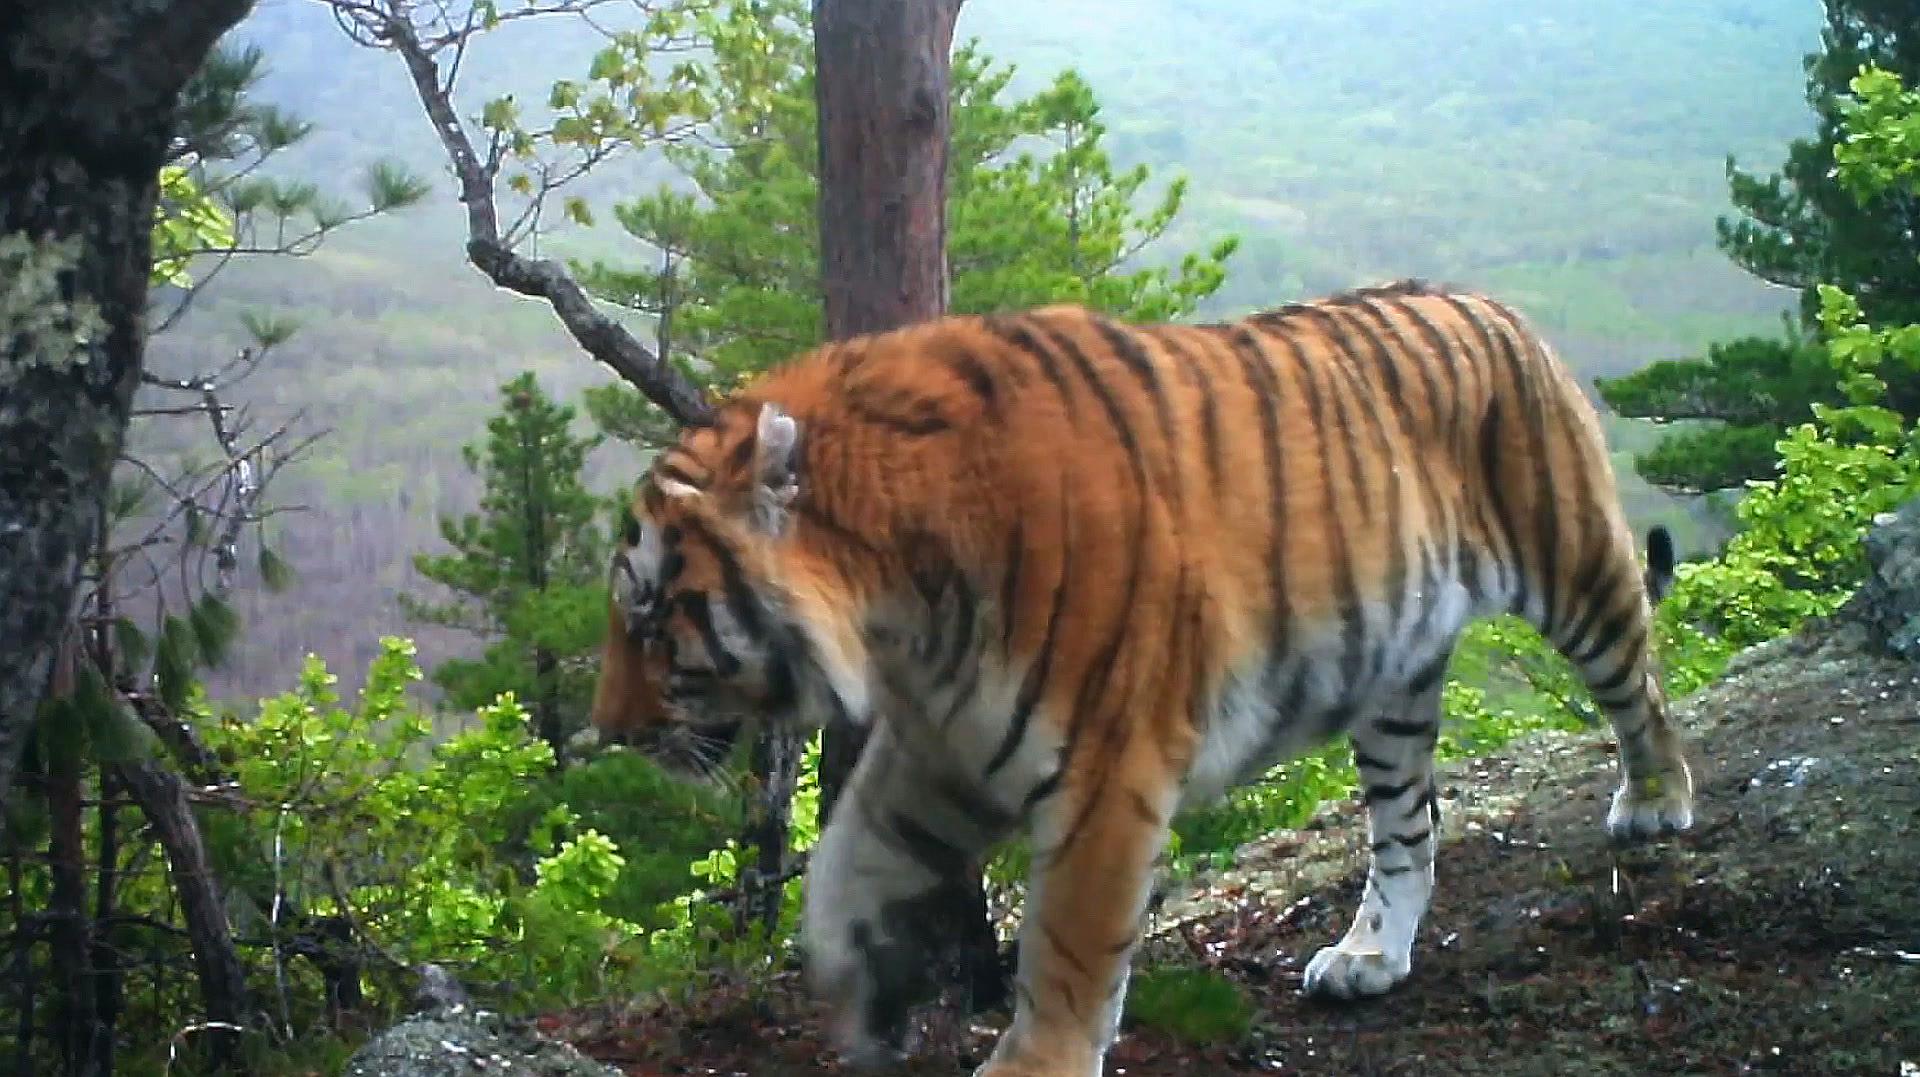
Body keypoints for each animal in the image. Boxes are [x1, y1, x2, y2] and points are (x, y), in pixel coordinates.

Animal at [587, 278, 1697, 1075]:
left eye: (648, 612)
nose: (607, 730)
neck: (902, 612)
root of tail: (1500, 306)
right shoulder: (946, 742)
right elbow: (852, 860)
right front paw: (858, 985)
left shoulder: (1105, 765)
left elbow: (1067, 946)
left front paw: (1032, 1063)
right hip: (1393, 684)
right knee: (1410, 824)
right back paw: (1370, 956)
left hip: (1574, 562)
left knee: (1639, 679)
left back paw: (1654, 801)